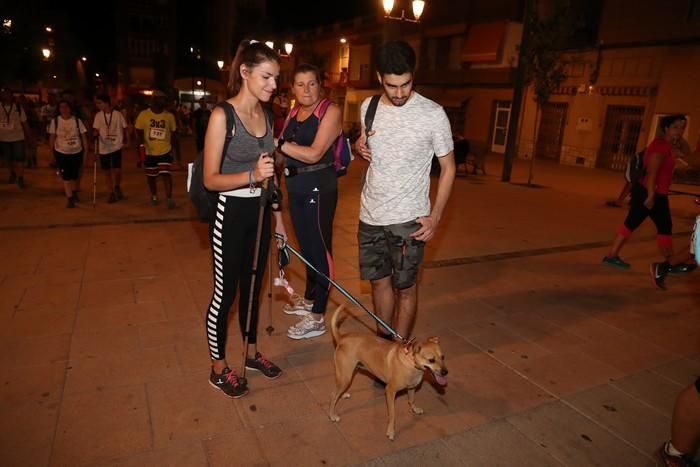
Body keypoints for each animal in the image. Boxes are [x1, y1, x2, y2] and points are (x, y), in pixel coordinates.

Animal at [328, 306, 448, 440]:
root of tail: (341, 338)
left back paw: (343, 394)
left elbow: (411, 400)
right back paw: (332, 415)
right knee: (333, 395)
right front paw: (391, 431)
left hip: (347, 374)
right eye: (431, 360)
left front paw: (415, 409)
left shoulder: (412, 388)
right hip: (346, 375)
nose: (445, 372)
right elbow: (392, 414)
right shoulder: (390, 391)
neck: (411, 363)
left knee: (339, 388)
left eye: (443, 357)